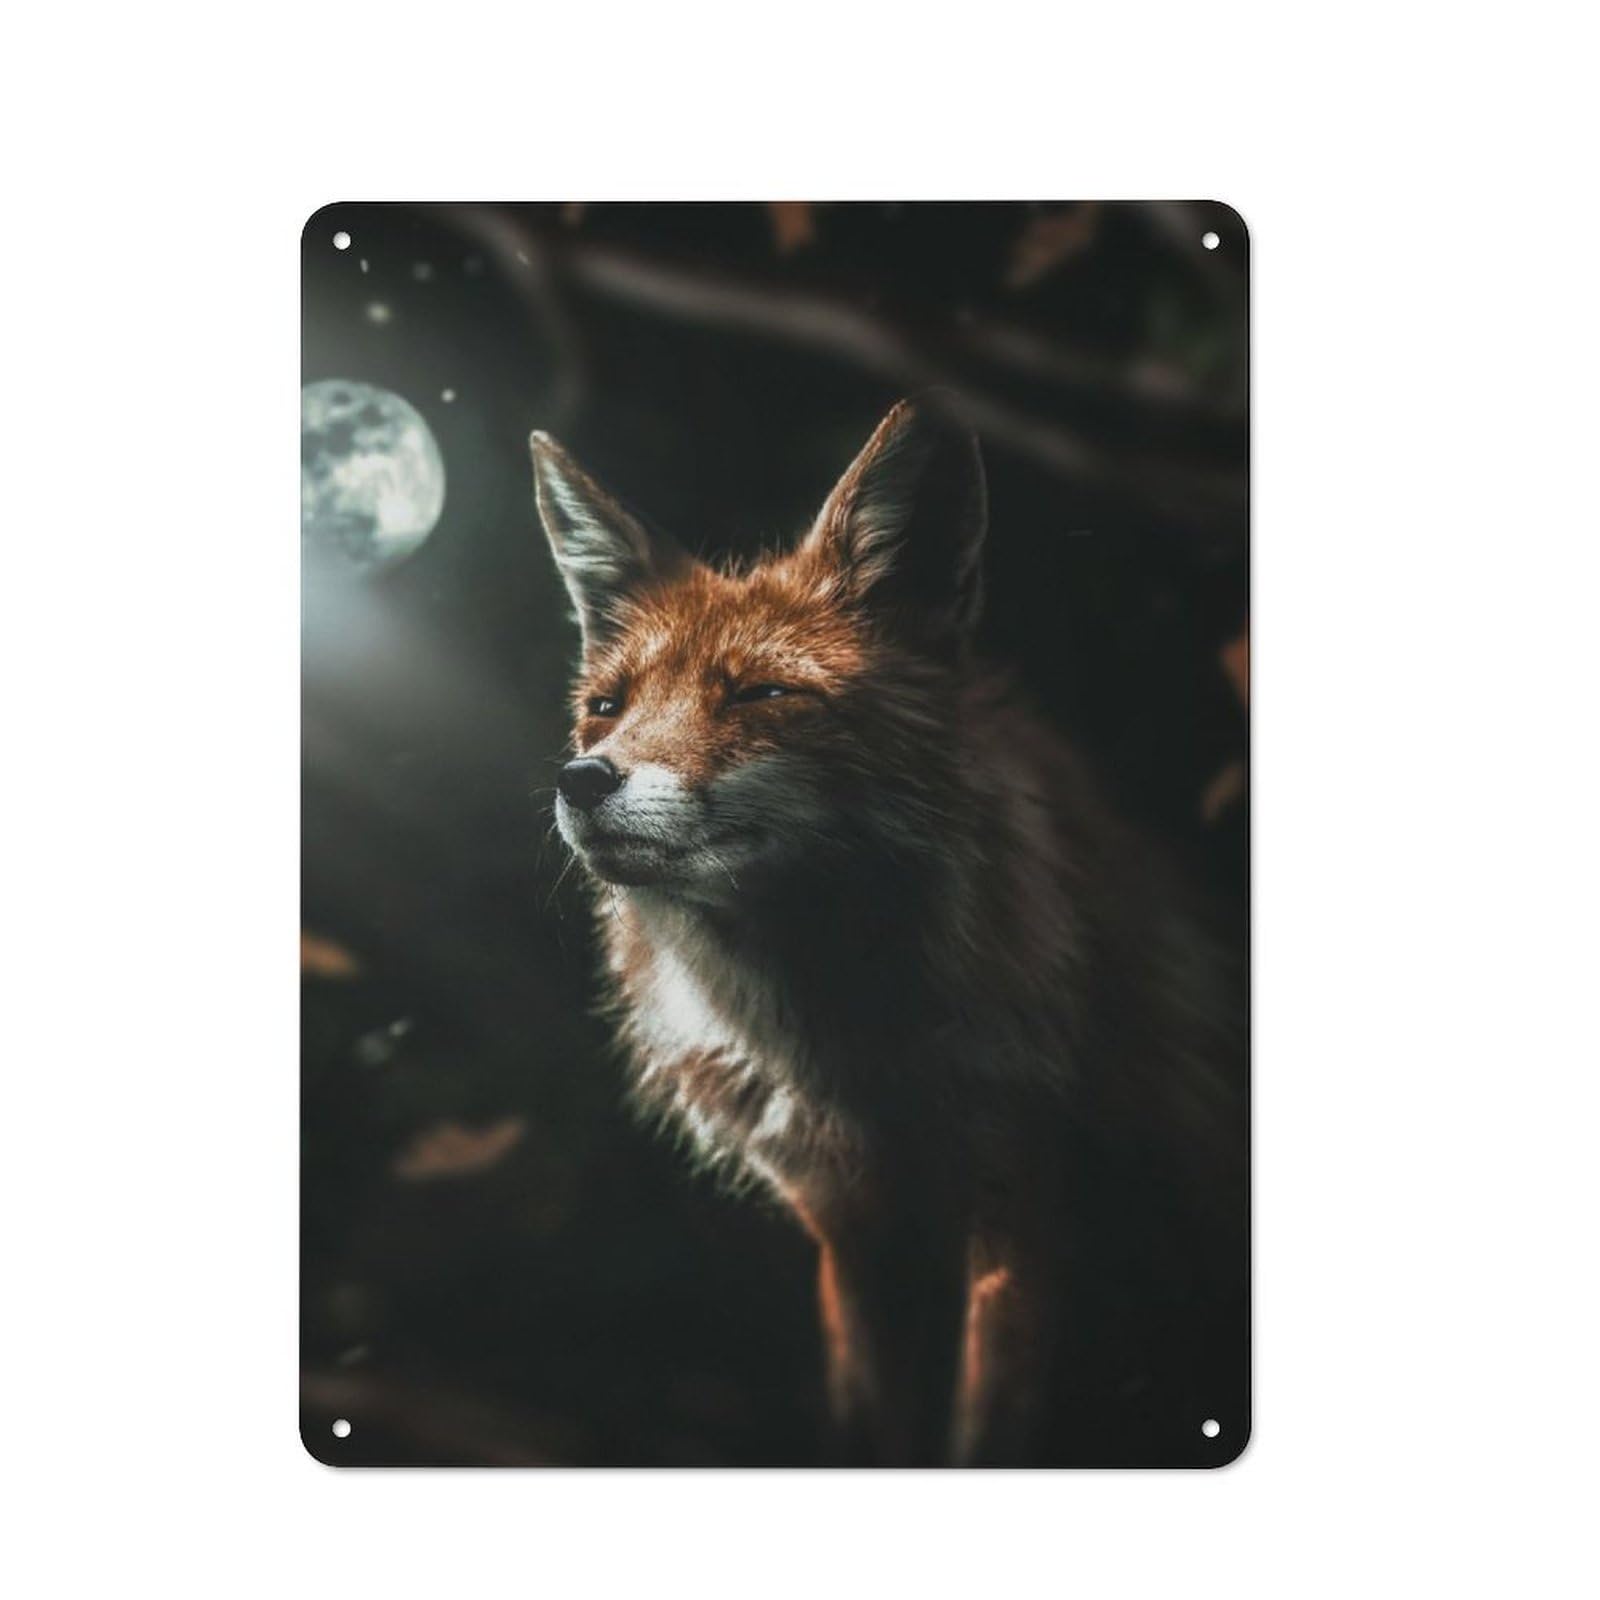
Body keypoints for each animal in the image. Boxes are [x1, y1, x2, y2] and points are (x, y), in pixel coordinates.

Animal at [530, 398, 1247, 1466]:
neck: (848, 1053)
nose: (583, 780)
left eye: (760, 694)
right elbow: (869, 1424)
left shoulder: (1021, 1207)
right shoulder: (847, 1228)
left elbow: (991, 1430)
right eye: (606, 709)